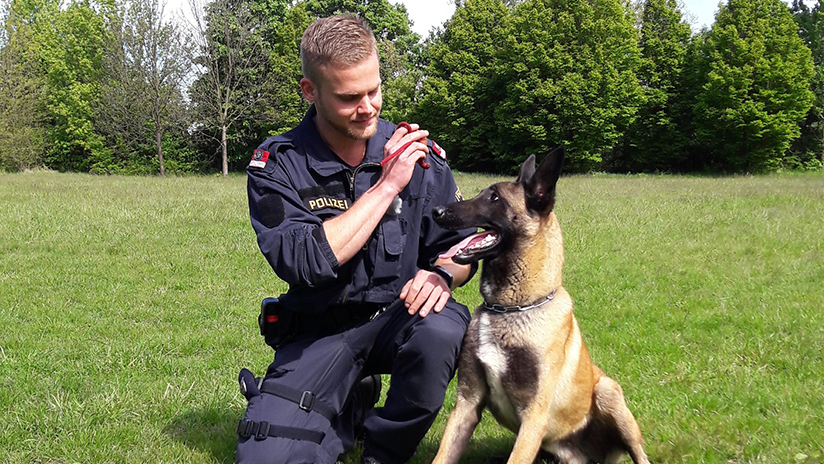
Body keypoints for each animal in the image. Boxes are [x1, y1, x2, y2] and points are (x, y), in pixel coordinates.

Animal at [432, 150, 652, 464]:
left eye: (494, 197)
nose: (436, 211)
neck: (510, 309)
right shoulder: (467, 404)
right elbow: (444, 454)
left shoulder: (534, 417)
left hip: (609, 392)